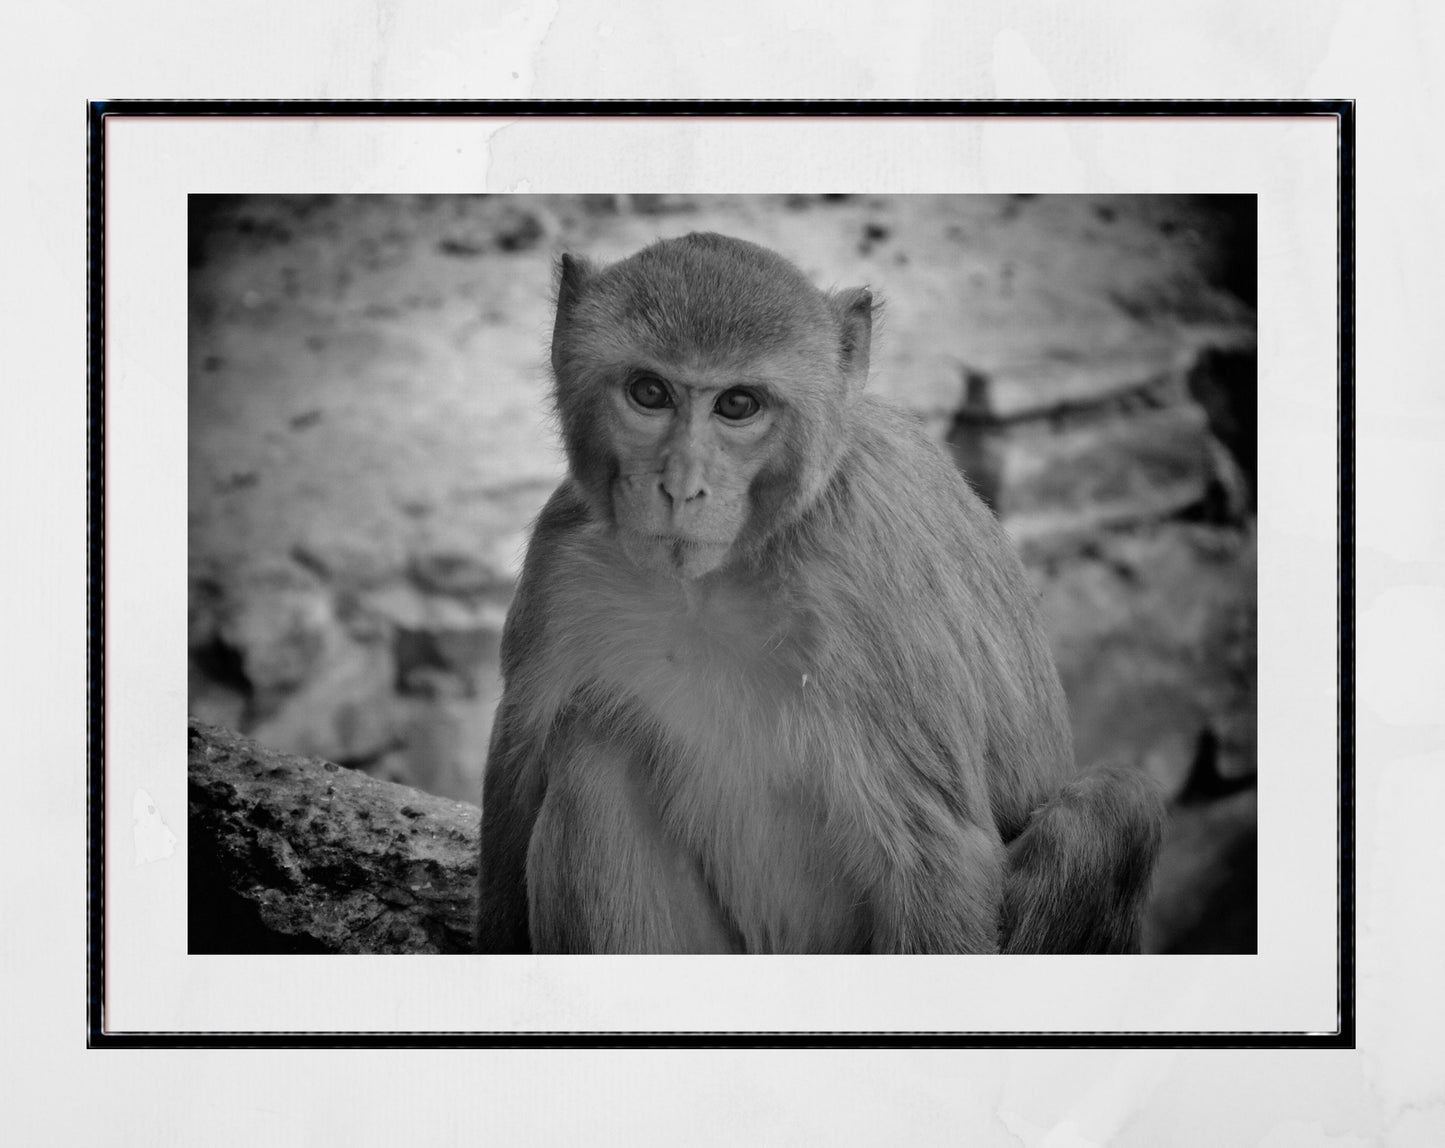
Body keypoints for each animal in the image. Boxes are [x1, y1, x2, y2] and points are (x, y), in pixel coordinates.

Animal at [476, 231, 1163, 955]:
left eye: (737, 405)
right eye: (649, 391)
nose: (680, 487)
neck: (717, 579)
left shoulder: (867, 585)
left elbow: (934, 856)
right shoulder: (564, 556)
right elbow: (518, 768)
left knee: (1114, 809)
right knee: (591, 754)